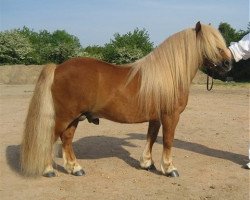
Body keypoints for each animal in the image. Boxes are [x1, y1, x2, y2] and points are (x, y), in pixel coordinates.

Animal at [20, 22, 231, 177]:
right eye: (212, 44)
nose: (228, 64)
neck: (168, 76)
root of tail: (58, 68)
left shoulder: (155, 117)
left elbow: (151, 138)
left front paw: (147, 163)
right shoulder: (171, 116)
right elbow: (168, 141)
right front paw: (169, 169)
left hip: (74, 118)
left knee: (67, 140)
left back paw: (75, 168)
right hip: (65, 116)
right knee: (50, 138)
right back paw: (48, 170)